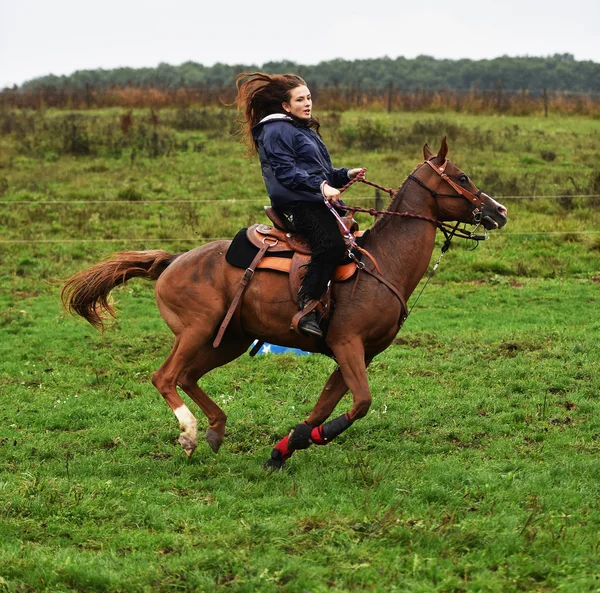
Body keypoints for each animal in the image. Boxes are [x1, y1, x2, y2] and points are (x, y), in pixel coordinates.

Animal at [62, 138, 506, 468]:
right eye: (462, 176)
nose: (499, 210)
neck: (381, 263)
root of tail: (174, 260)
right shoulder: (347, 345)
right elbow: (360, 403)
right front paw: (310, 439)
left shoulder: (358, 353)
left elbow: (326, 406)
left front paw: (287, 446)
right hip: (197, 331)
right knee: (165, 377)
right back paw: (190, 433)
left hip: (231, 339)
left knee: (187, 377)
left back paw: (216, 428)